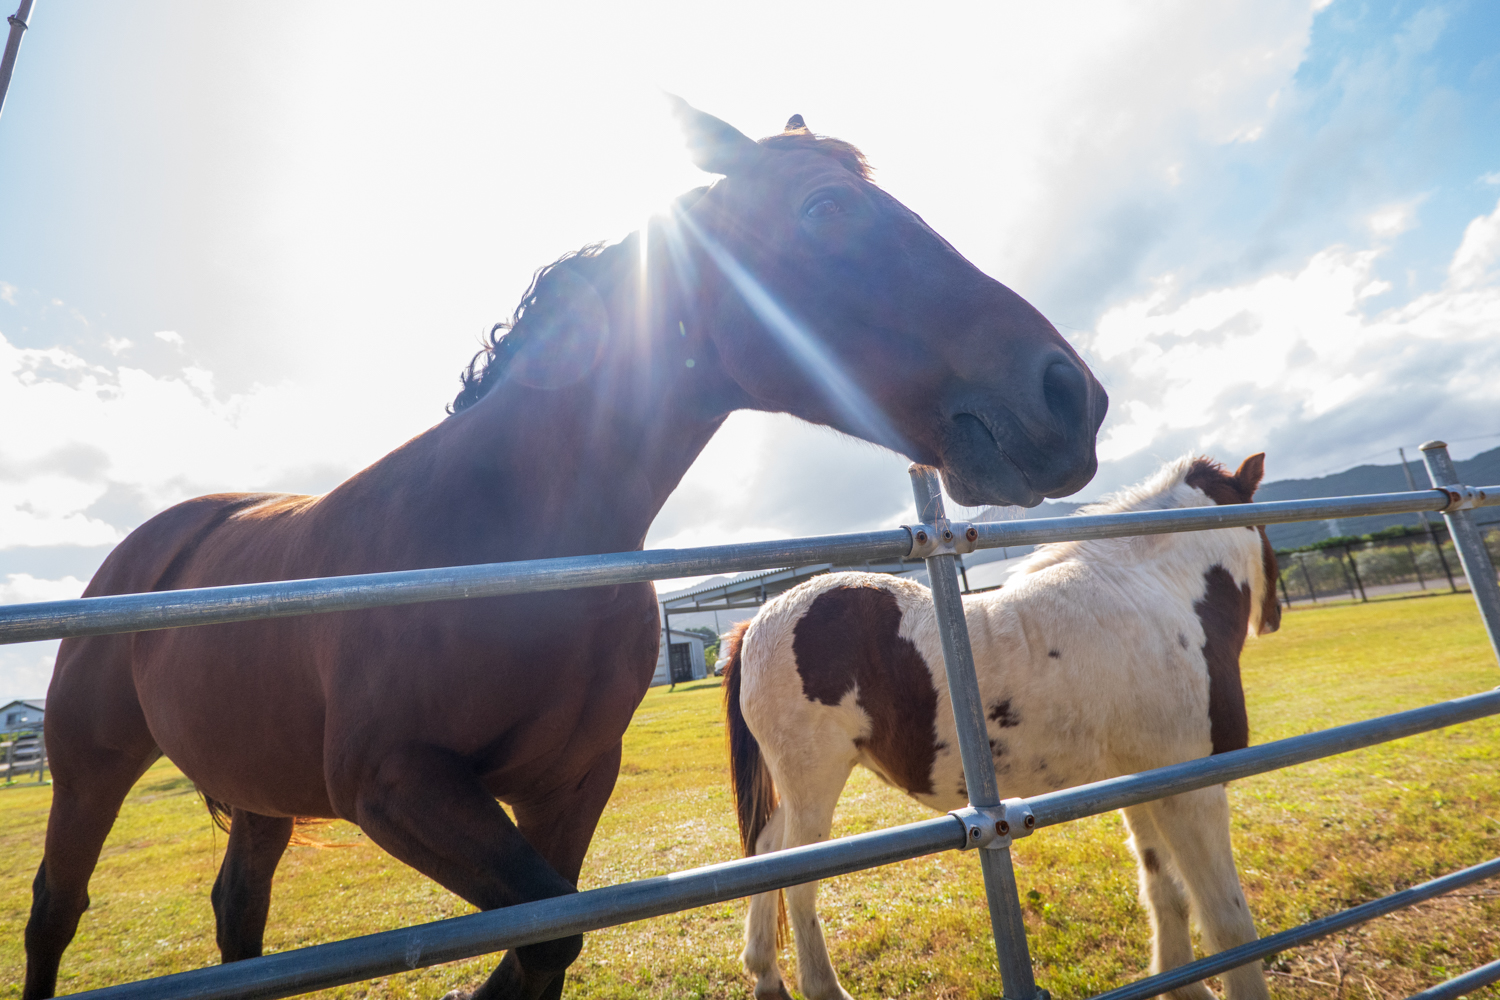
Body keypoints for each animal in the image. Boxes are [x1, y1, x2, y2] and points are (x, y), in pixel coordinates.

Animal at [20, 101, 1104, 1000]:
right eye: (824, 207)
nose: (1070, 396)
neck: (514, 539)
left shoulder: (570, 785)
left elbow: (546, 947)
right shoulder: (398, 785)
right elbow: (544, 942)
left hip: (260, 798)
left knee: (236, 919)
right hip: (88, 773)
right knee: (52, 915)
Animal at [720, 455, 1284, 1000]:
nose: (1274, 616)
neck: (1155, 594)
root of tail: (755, 623)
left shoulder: (1142, 783)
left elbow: (1163, 889)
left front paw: (1182, 982)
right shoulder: (1191, 788)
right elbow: (1229, 921)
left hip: (800, 787)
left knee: (767, 852)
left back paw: (765, 973)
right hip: (814, 783)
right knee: (798, 880)